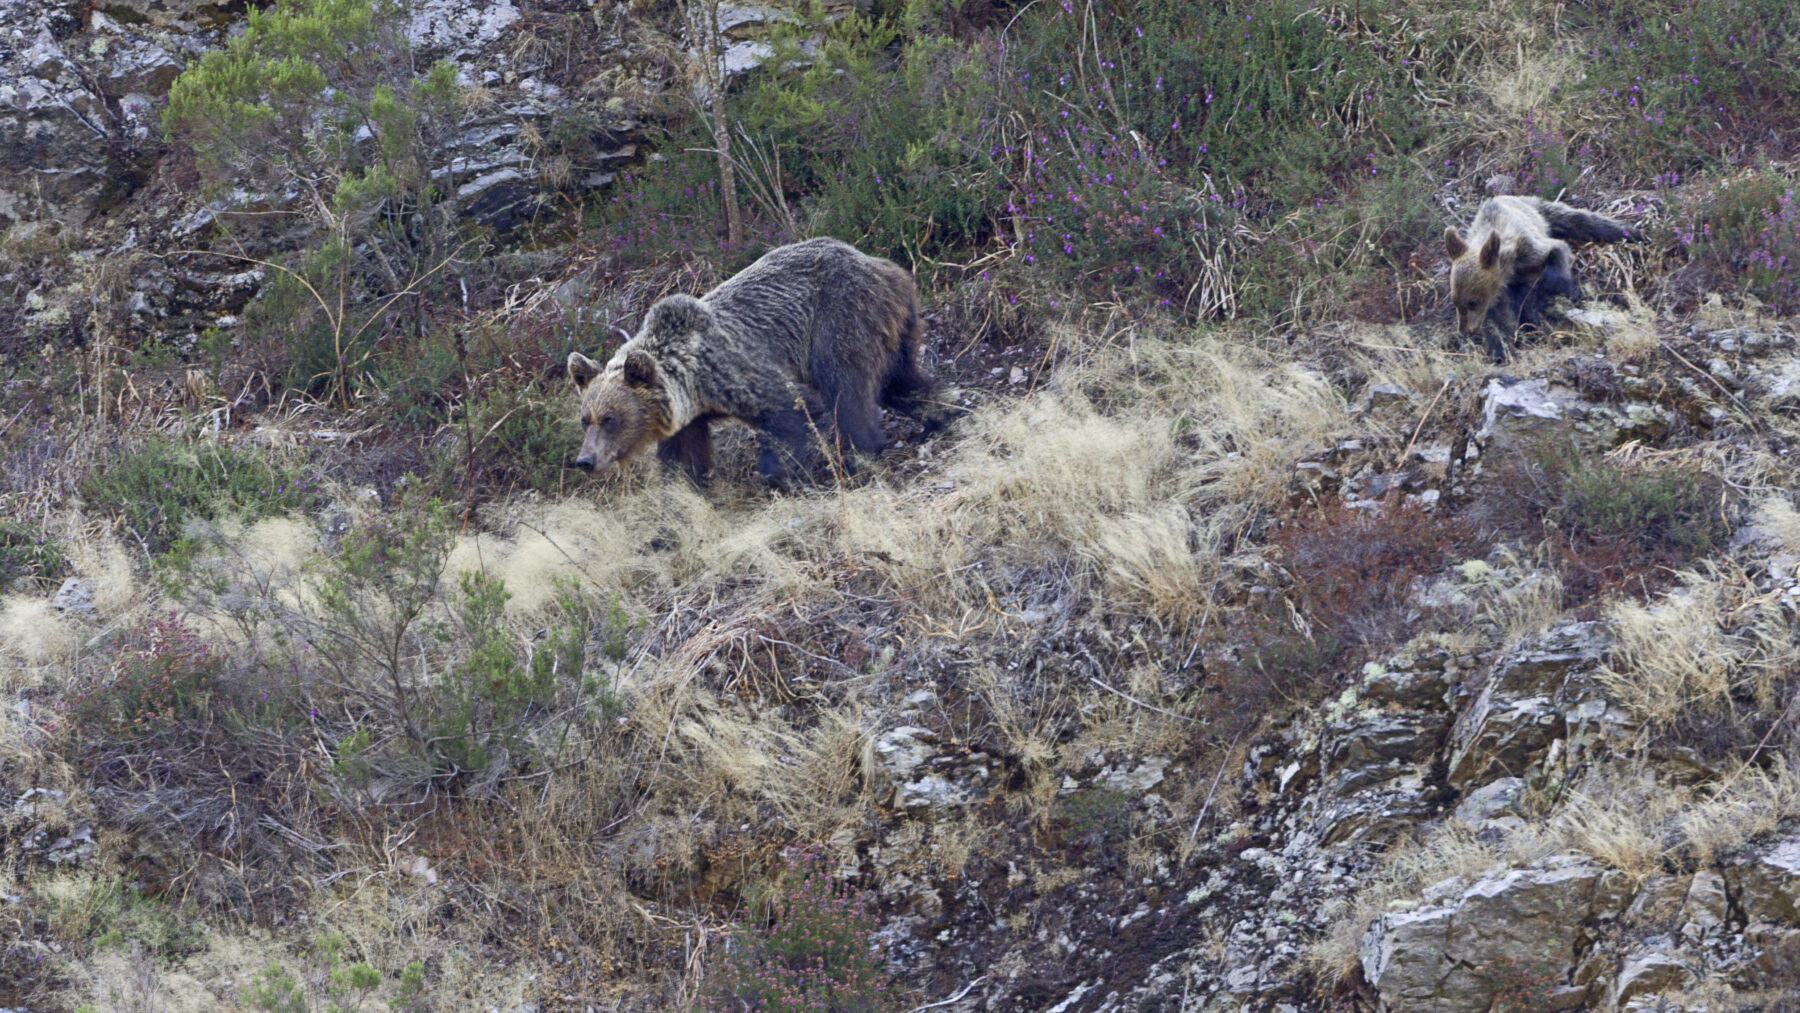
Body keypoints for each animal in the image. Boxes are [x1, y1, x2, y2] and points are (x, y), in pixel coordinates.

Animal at [566, 237, 939, 483]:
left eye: (611, 419)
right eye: (585, 420)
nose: (584, 460)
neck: (692, 383)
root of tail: (879, 263)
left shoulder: (733, 370)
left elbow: (792, 407)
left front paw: (777, 473)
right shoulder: (688, 417)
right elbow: (684, 458)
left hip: (840, 316)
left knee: (845, 385)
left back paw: (860, 450)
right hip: (895, 323)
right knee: (900, 378)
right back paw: (937, 412)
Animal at [1445, 196, 1630, 362]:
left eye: (1473, 302)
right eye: (1456, 302)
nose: (1465, 331)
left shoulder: (1528, 249)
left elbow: (1556, 250)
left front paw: (1558, 288)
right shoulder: (1496, 292)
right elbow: (1497, 321)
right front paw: (1501, 350)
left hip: (1539, 211)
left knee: (1577, 219)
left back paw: (1629, 231)